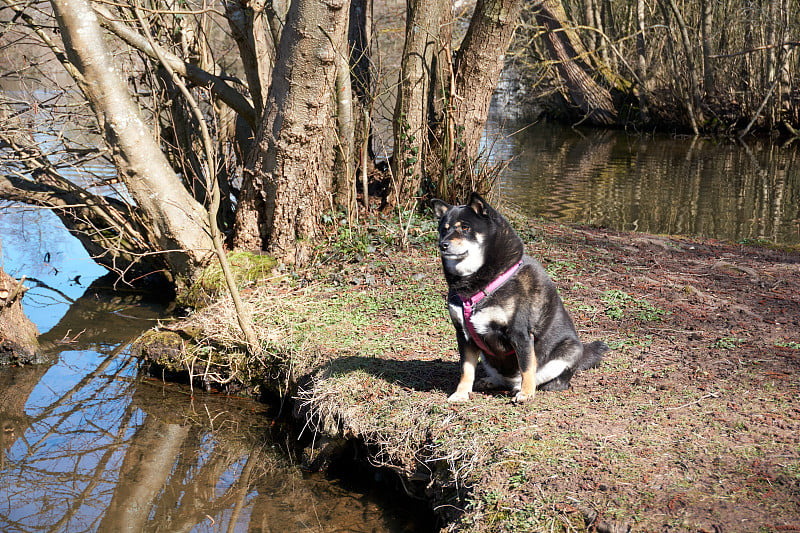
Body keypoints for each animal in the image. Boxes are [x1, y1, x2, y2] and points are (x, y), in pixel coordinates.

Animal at [432, 193, 608, 402]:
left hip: (569, 350)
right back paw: (492, 382)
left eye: (465, 228)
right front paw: (461, 393)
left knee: (550, 378)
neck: (477, 284)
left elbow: (527, 367)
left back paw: (529, 387)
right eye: (444, 229)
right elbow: (466, 369)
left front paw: (526, 393)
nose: (443, 245)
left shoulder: (520, 333)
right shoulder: (463, 334)